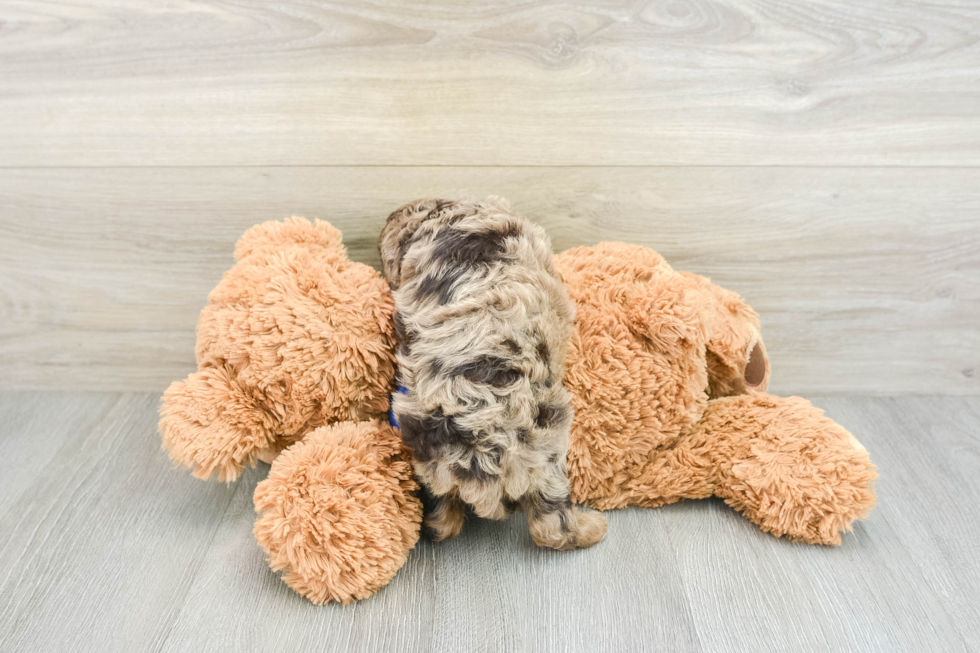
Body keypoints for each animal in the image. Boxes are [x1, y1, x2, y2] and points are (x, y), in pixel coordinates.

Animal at [380, 197, 604, 552]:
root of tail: (475, 451)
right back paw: (591, 529)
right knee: (552, 526)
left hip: (428, 460)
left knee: (442, 523)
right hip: (548, 449)